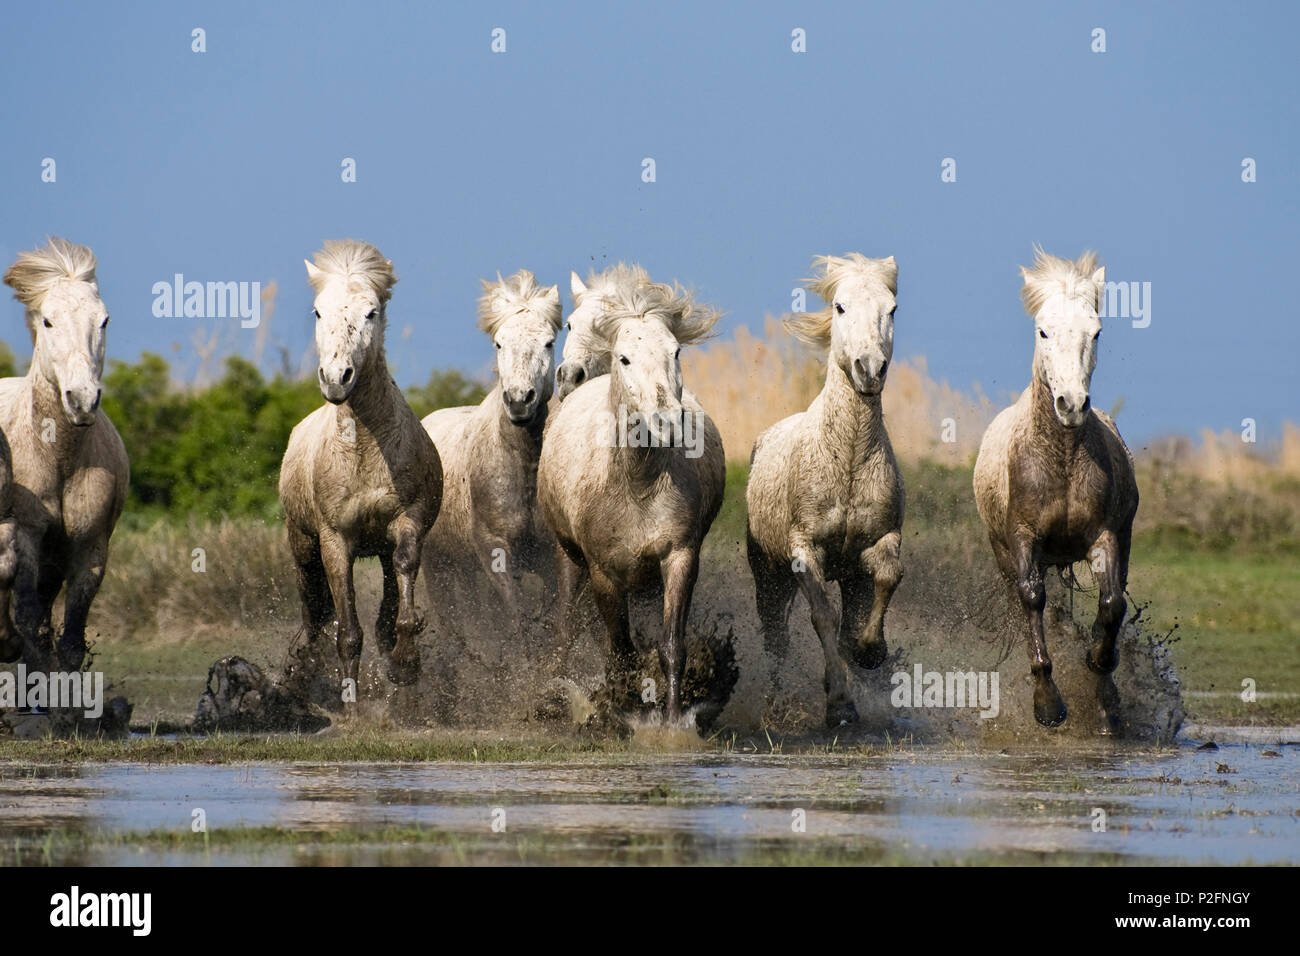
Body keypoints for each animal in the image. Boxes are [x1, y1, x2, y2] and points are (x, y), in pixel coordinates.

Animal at [743, 254, 904, 723]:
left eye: (892, 309)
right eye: (840, 307)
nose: (869, 369)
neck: (846, 458)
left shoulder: (880, 541)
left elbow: (888, 577)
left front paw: (869, 651)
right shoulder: (805, 550)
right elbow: (823, 619)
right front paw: (839, 703)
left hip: (849, 576)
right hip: (769, 575)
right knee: (775, 638)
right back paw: (775, 703)